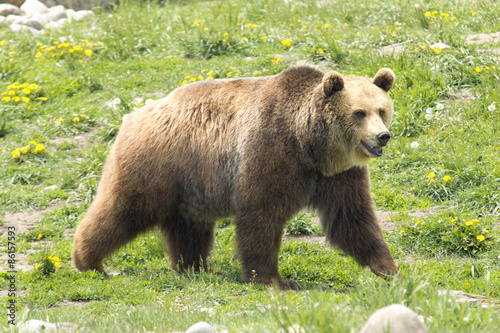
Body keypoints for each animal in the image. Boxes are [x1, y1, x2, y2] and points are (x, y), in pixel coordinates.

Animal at [72, 65, 398, 288]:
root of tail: (132, 116)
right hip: (157, 166)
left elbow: (351, 219)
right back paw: (88, 260)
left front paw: (388, 268)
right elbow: (260, 214)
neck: (310, 146)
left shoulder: (339, 176)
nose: (382, 136)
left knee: (188, 230)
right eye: (359, 112)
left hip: (191, 186)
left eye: (381, 109)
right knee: (121, 210)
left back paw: (196, 269)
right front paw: (273, 279)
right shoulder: (269, 151)